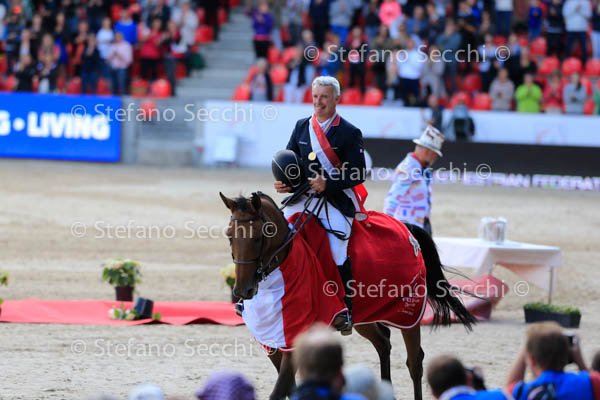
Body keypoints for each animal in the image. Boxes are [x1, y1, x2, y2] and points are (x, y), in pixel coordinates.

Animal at [220, 191, 476, 400]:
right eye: (230, 236)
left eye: (258, 237)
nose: (242, 291)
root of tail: (406, 229)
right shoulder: (272, 342)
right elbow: (289, 389)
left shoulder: (294, 337)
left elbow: (278, 391)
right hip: (365, 316)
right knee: (383, 343)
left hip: (408, 314)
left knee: (415, 363)